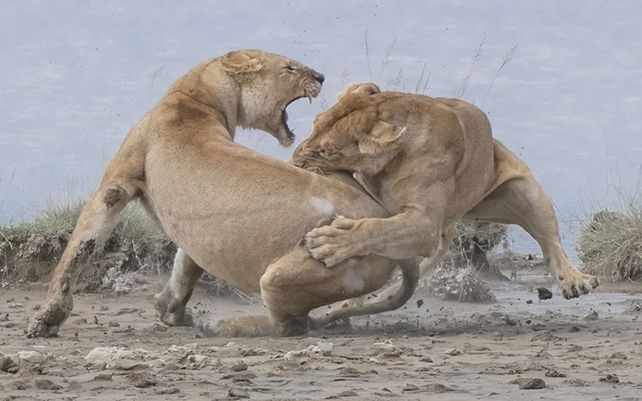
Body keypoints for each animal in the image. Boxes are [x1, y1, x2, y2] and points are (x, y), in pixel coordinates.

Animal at [27, 51, 420, 338]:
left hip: (286, 274)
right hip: (332, 172)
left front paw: (47, 318)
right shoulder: (195, 230)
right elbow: (186, 265)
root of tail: (386, 223)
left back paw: (230, 325)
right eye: (289, 67)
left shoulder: (117, 184)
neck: (195, 98)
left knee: (292, 325)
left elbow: (78, 247)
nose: (321, 76)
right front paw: (170, 310)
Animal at [293, 83, 599, 303]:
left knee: (551, 245)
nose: (294, 162)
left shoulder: (425, 223)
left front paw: (329, 242)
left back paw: (575, 280)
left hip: (527, 194)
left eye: (326, 151)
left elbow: (376, 229)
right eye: (315, 123)